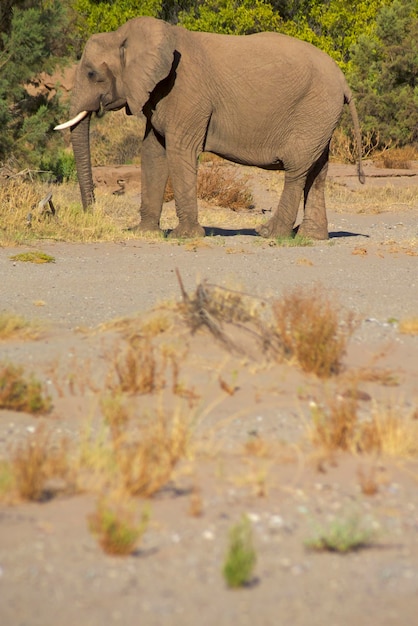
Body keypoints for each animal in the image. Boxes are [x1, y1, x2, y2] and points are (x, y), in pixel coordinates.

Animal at [54, 15, 364, 239]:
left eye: (92, 74)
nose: (92, 212)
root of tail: (343, 80)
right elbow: (153, 152)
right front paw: (145, 233)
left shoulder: (185, 93)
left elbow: (180, 151)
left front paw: (183, 236)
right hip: (320, 117)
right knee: (318, 170)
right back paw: (311, 237)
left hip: (313, 110)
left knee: (297, 169)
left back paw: (270, 233)